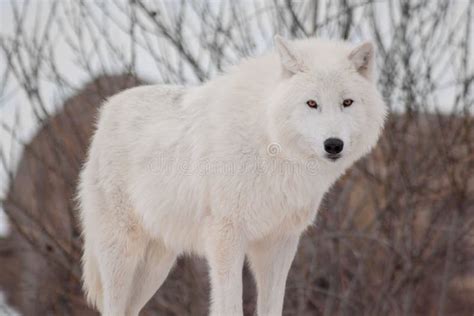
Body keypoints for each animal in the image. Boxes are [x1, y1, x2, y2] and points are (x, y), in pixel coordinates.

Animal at [78, 35, 386, 316]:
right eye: (312, 103)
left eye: (347, 102)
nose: (333, 144)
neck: (269, 141)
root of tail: (106, 111)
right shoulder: (226, 237)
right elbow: (230, 305)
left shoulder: (279, 243)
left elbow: (272, 306)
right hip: (122, 254)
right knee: (113, 307)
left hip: (157, 264)